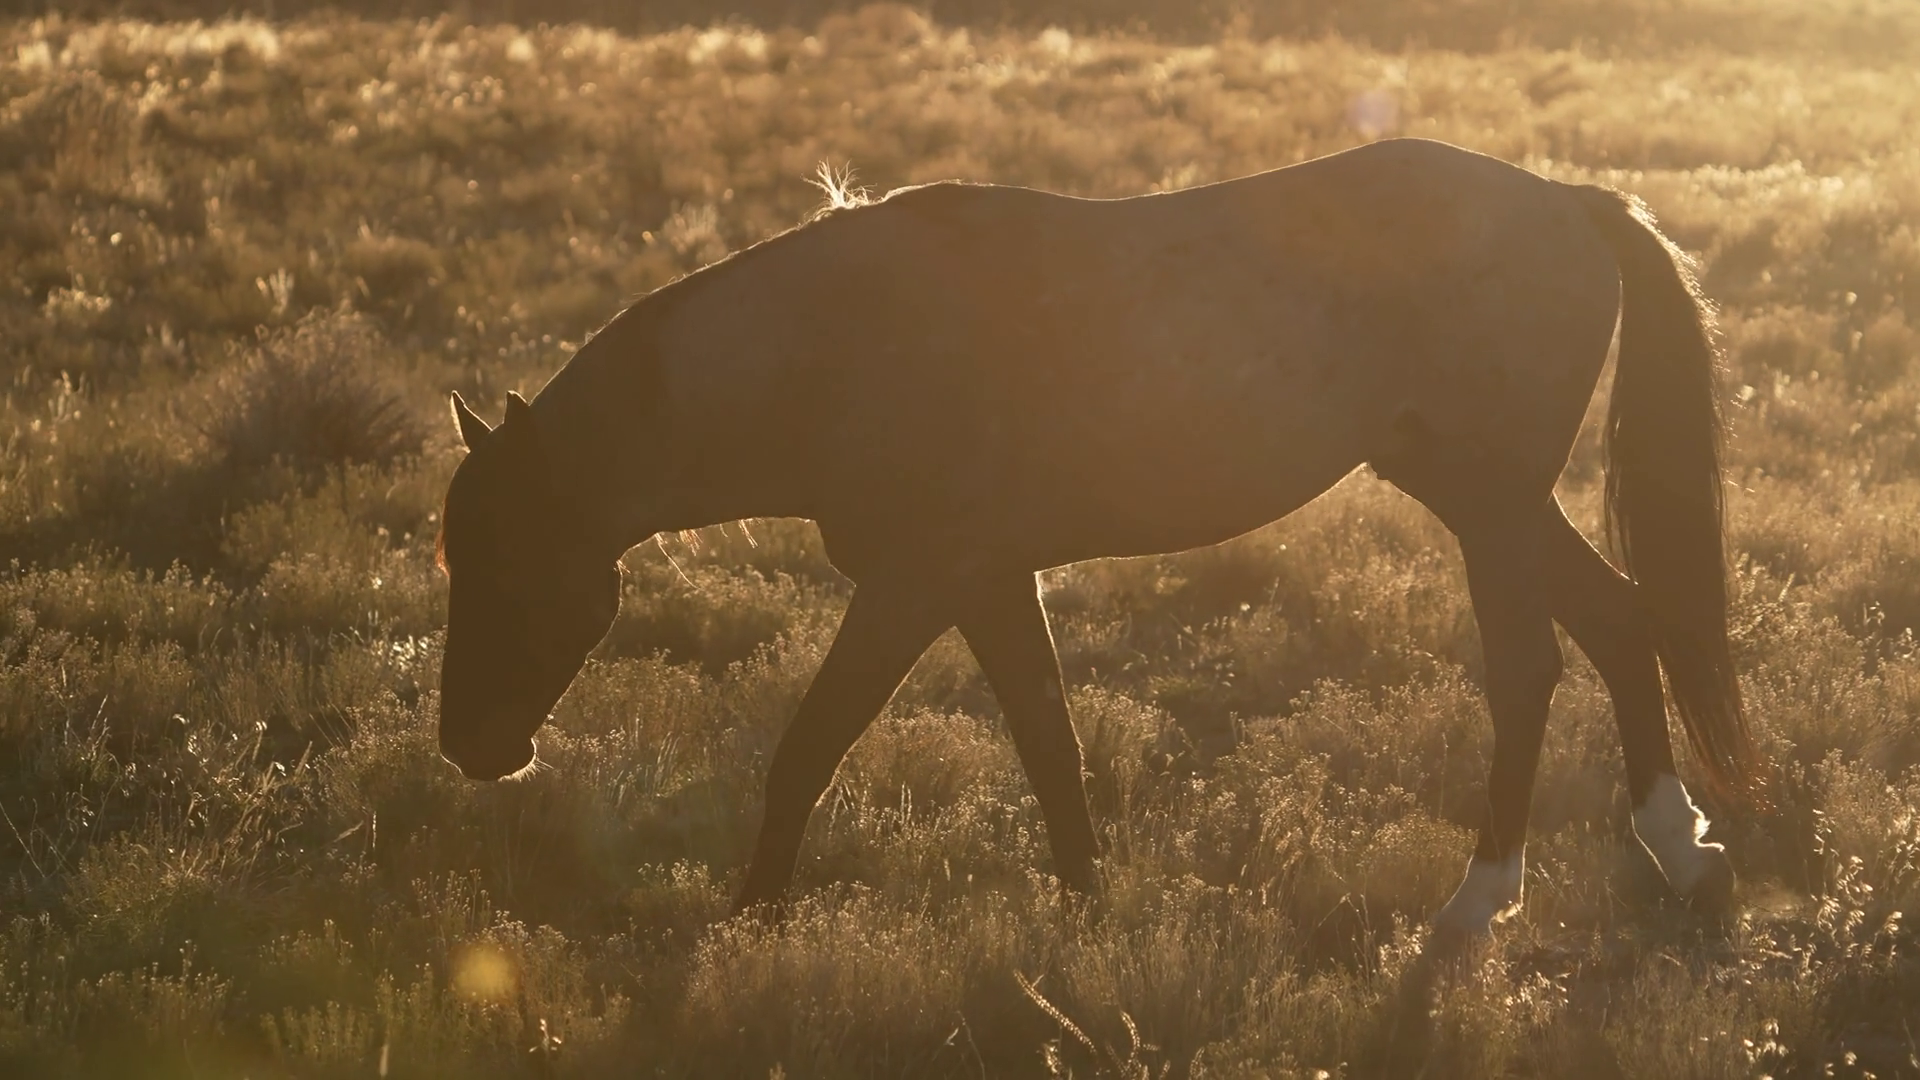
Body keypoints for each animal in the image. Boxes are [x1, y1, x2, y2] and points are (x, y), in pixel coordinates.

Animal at [435, 137, 1758, 945]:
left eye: (507, 564)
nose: (469, 750)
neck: (833, 344)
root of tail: (1568, 203)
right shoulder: (987, 581)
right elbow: (1050, 744)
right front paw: (1086, 912)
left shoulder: (914, 584)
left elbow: (809, 747)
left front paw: (749, 922)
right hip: (1479, 493)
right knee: (1621, 622)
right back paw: (1680, 852)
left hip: (1489, 503)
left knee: (1531, 667)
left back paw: (1482, 903)